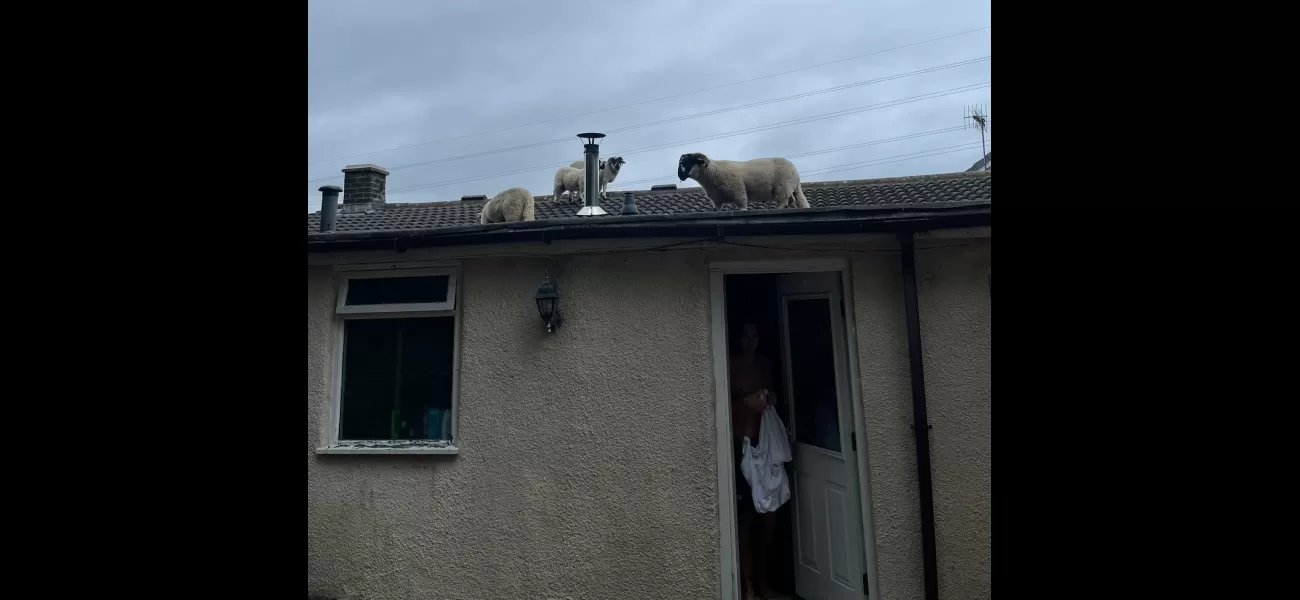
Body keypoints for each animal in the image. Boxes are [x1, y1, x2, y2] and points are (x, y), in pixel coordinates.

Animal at [676, 152, 806, 210]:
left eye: (688, 162)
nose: (680, 176)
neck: (712, 172)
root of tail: (795, 172)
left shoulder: (738, 192)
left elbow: (742, 206)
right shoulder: (717, 200)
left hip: (782, 187)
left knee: (783, 202)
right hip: (789, 188)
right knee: (793, 201)